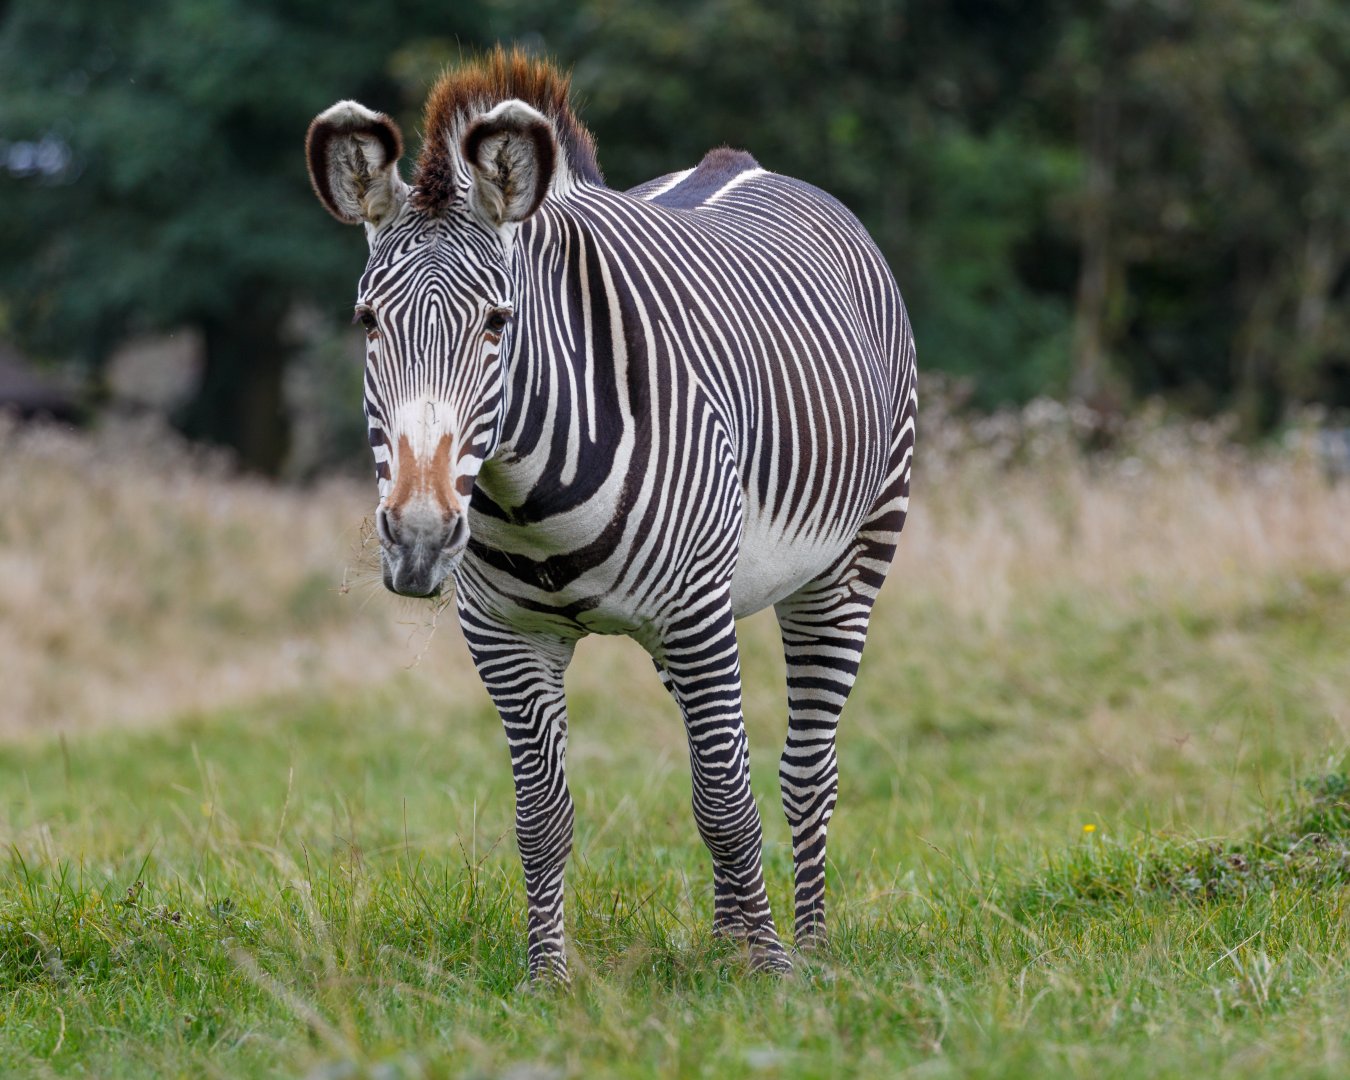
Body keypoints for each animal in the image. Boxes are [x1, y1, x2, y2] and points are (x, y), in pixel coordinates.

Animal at [305, 47, 916, 982]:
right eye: (367, 321)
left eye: (498, 322)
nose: (417, 540)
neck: (529, 500)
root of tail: (739, 163)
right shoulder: (507, 635)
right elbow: (544, 815)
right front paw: (547, 977)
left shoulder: (696, 613)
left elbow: (726, 799)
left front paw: (775, 975)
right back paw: (729, 938)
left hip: (848, 562)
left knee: (804, 768)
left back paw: (806, 946)